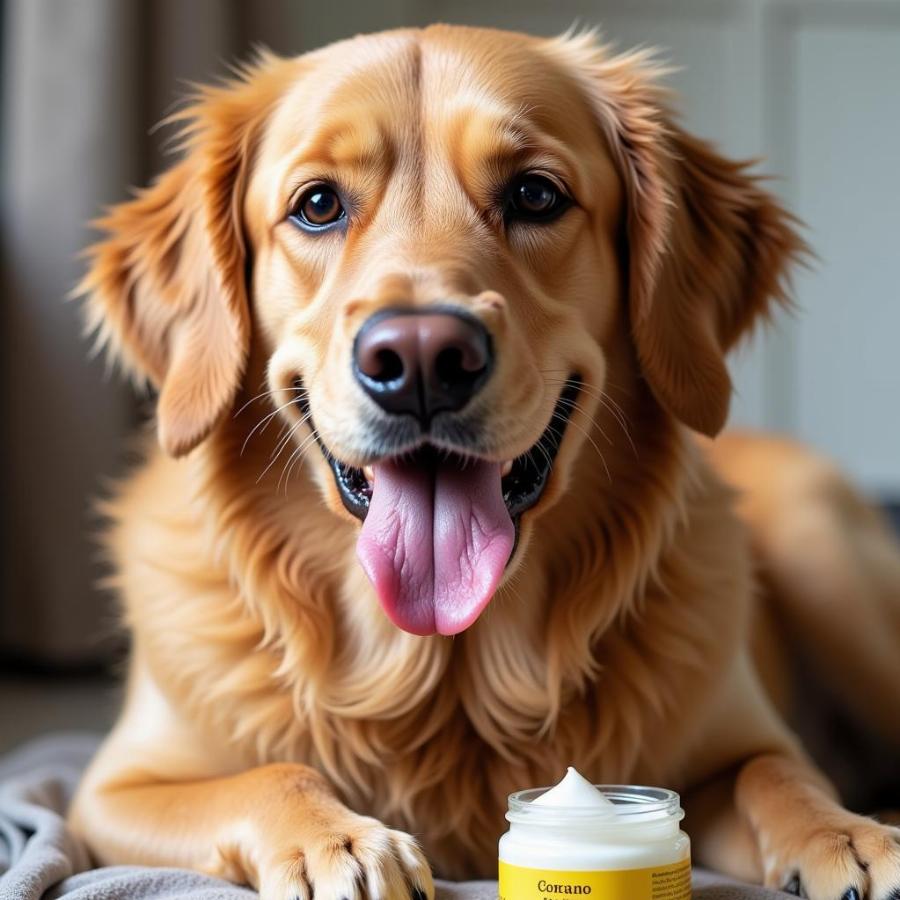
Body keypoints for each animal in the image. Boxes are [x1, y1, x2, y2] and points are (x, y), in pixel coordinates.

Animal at [70, 24, 900, 900]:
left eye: (535, 195)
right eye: (318, 205)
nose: (421, 359)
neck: (447, 673)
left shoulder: (739, 744)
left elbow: (774, 773)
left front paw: (846, 833)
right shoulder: (111, 791)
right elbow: (270, 775)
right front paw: (342, 842)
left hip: (825, 556)